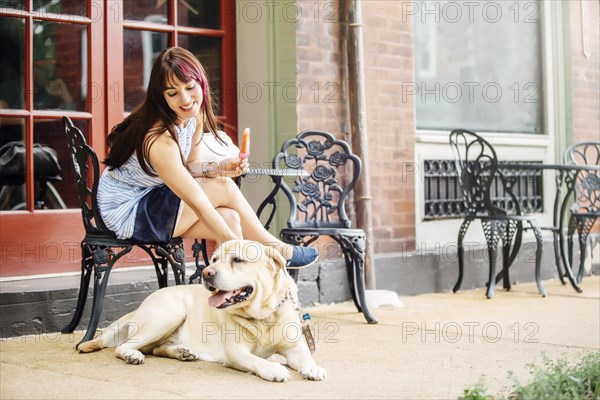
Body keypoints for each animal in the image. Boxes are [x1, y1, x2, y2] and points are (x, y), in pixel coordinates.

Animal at [78, 239, 328, 382]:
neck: (263, 316)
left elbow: (306, 357)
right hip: (170, 312)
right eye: (215, 259)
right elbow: (256, 360)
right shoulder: (236, 353)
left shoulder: (295, 348)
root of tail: (142, 305)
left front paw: (313, 367)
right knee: (125, 346)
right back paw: (133, 355)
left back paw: (181, 352)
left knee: (156, 348)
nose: (207, 272)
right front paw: (273, 368)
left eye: (237, 260)